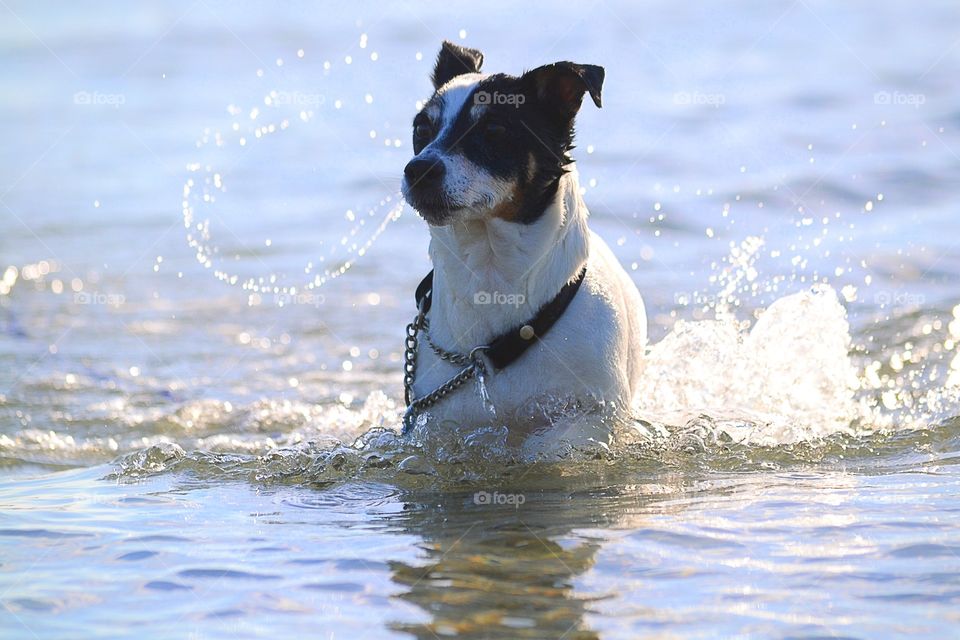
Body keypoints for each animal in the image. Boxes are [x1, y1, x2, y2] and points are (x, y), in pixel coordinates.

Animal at [398, 41, 644, 456]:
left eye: (494, 130)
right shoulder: (442, 424)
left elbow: (550, 444)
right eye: (421, 128)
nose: (418, 169)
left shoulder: (596, 415)